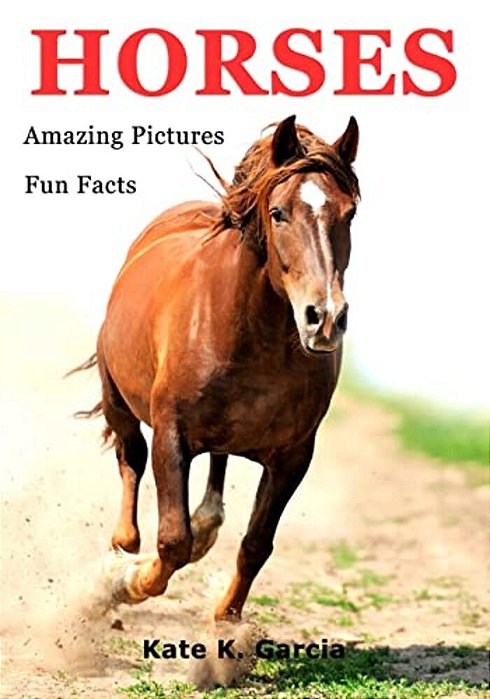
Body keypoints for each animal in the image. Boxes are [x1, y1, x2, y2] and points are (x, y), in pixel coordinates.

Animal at [77, 115, 360, 623]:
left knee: (215, 481)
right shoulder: (171, 434)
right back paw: (120, 556)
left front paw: (226, 625)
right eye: (279, 212)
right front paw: (125, 584)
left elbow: (256, 546)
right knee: (131, 461)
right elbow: (172, 539)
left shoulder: (293, 458)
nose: (325, 318)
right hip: (118, 403)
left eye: (348, 214)